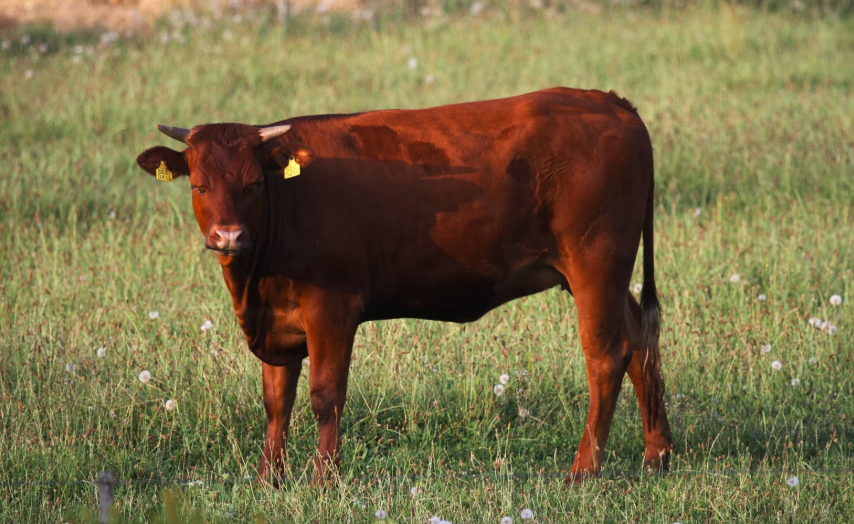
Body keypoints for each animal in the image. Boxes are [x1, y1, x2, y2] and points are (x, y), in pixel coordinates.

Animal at [135, 87, 672, 484]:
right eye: (199, 185)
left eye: (254, 185)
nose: (229, 236)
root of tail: (609, 101)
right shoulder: (279, 321)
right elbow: (276, 401)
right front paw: (271, 479)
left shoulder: (332, 308)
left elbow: (325, 395)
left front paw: (322, 480)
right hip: (606, 276)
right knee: (640, 340)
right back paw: (657, 454)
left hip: (595, 264)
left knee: (606, 356)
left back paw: (583, 470)